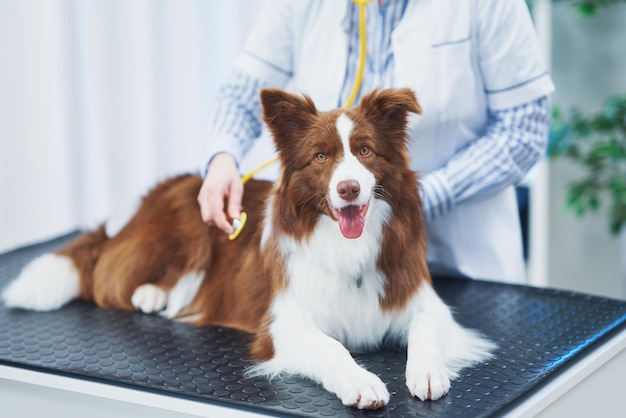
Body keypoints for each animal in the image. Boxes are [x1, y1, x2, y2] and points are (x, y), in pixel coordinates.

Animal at [3, 87, 492, 408]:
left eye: (366, 151)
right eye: (321, 157)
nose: (349, 189)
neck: (344, 245)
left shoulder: (422, 299)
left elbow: (425, 331)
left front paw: (427, 370)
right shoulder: (285, 324)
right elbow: (332, 349)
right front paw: (362, 382)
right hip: (191, 226)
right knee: (107, 276)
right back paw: (151, 293)